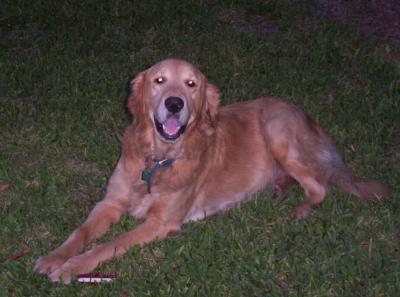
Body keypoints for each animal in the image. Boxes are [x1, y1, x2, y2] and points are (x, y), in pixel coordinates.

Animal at [35, 57, 388, 282]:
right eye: (159, 80)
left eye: (191, 84)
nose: (174, 103)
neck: (158, 159)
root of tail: (310, 118)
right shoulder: (109, 203)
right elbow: (80, 233)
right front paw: (54, 257)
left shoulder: (160, 223)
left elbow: (108, 244)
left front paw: (70, 268)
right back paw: (277, 189)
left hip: (278, 131)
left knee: (319, 187)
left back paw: (300, 208)